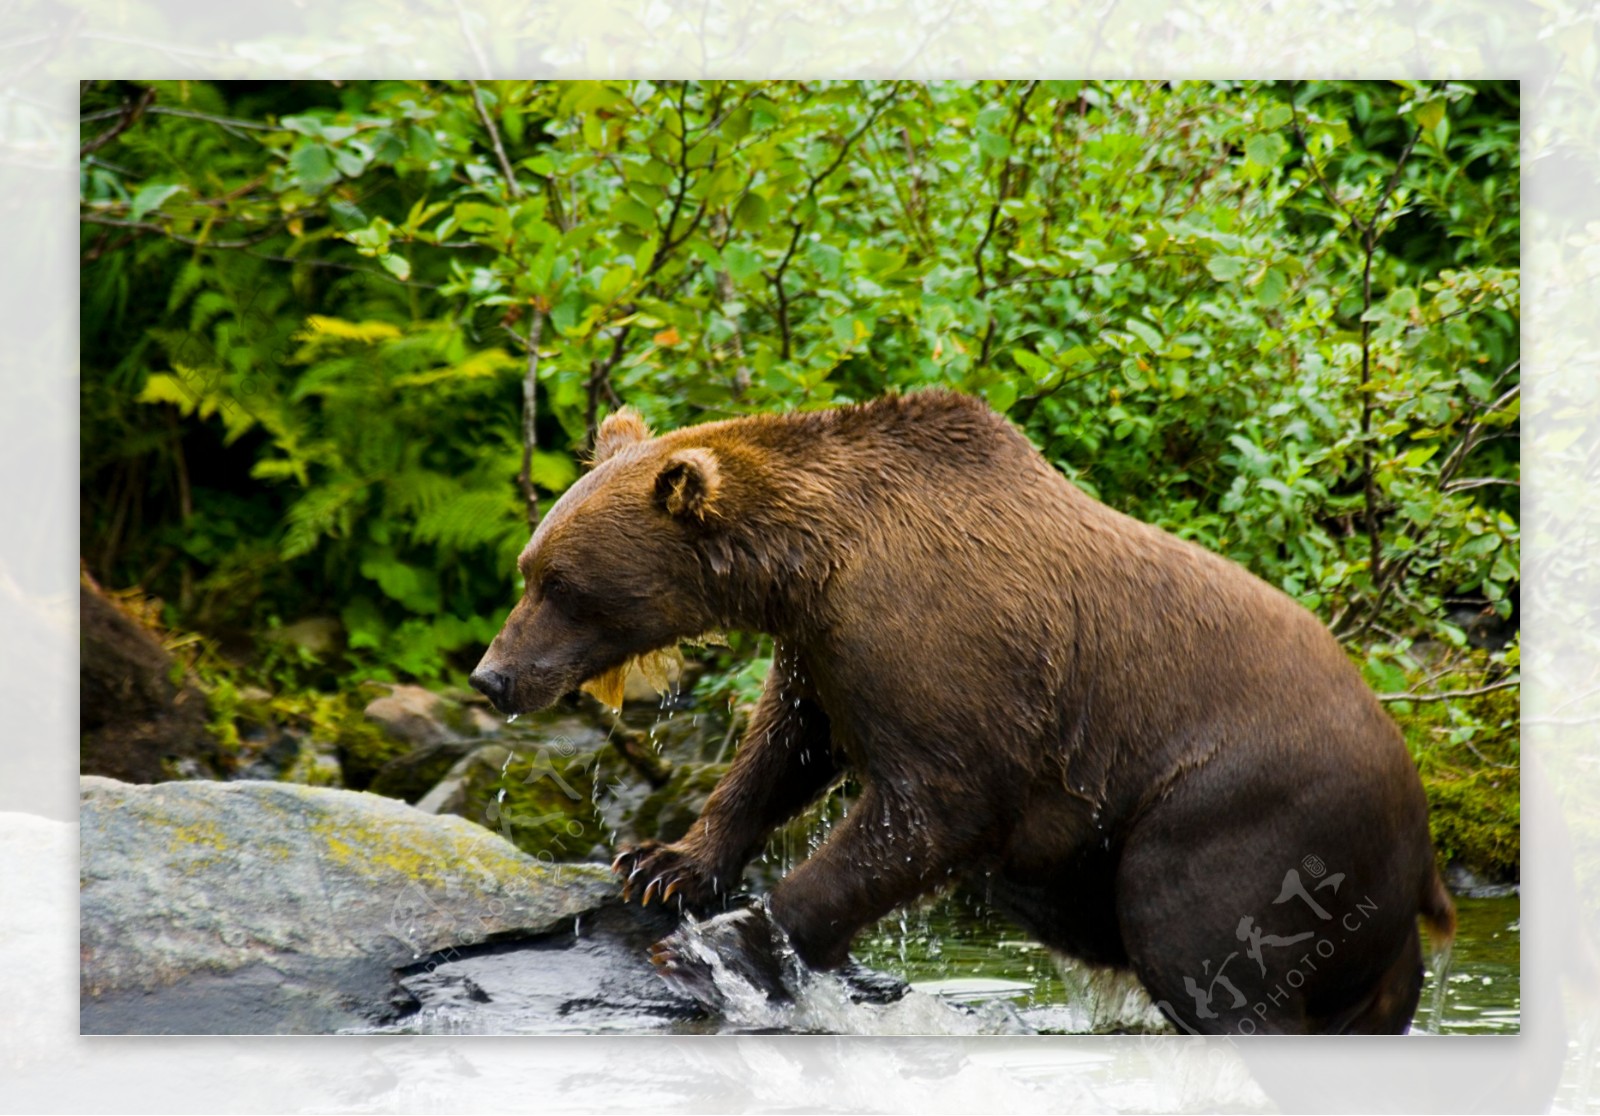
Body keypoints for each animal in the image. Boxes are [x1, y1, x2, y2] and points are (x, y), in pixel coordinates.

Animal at [467, 391, 1459, 1036]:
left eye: (562, 585)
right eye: (528, 568)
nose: (493, 677)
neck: (812, 564)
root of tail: (1421, 834)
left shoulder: (944, 653)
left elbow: (929, 813)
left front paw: (722, 946)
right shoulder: (823, 650)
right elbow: (782, 750)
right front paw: (662, 864)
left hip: (1243, 815)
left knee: (1203, 943)